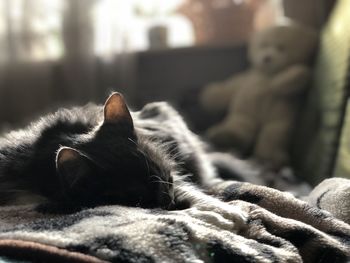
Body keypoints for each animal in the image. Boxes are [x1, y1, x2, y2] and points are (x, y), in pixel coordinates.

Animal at [0, 94, 246, 227]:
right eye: (138, 200)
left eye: (168, 180)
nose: (170, 203)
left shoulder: (178, 180)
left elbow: (195, 193)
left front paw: (231, 213)